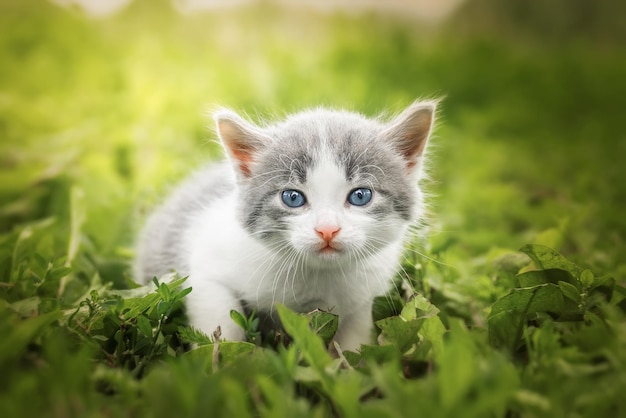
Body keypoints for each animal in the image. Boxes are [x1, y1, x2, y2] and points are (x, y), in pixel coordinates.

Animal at [133, 101, 434, 352]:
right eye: (292, 197)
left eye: (361, 196)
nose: (327, 230)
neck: (319, 277)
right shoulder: (206, 268)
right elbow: (219, 317)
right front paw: (221, 362)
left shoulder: (363, 295)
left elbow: (354, 338)